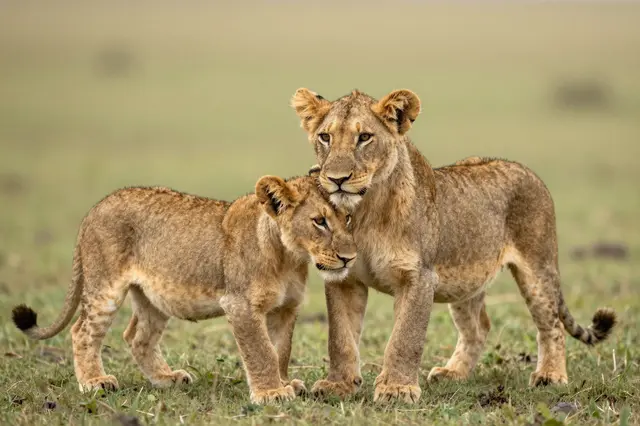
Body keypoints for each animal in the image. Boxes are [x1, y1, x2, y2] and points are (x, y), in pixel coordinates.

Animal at [11, 173, 356, 404]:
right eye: (319, 221)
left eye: (348, 218)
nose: (350, 257)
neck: (289, 257)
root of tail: (95, 208)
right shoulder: (241, 305)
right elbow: (261, 352)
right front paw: (271, 393)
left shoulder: (285, 308)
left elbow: (280, 350)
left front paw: (285, 383)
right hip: (104, 288)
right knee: (82, 331)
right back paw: (94, 382)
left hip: (153, 297)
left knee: (137, 337)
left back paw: (167, 379)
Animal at [291, 88, 616, 403]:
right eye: (325, 137)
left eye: (364, 137)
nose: (337, 179)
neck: (365, 211)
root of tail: (526, 170)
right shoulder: (343, 278)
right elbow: (340, 338)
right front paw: (339, 385)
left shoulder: (419, 277)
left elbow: (404, 338)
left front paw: (397, 388)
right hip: (465, 281)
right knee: (478, 327)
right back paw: (453, 372)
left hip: (538, 268)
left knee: (552, 325)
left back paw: (551, 376)